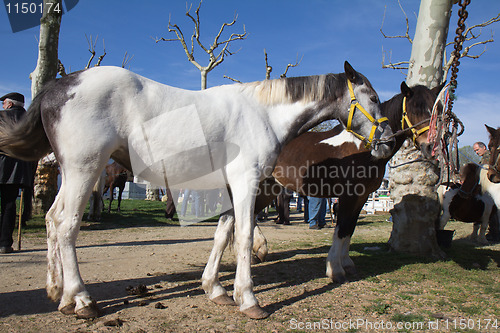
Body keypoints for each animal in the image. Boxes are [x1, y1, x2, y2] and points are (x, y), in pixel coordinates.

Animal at [0, 61, 394, 318]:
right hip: (85, 168)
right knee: (66, 225)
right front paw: (249, 300)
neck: (263, 115)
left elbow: (223, 235)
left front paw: (216, 290)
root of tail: (59, 86)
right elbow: (244, 237)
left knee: (52, 220)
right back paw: (81, 300)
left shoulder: (232, 188)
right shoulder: (247, 182)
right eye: (373, 97)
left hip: (73, 173)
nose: (388, 141)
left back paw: (59, 293)